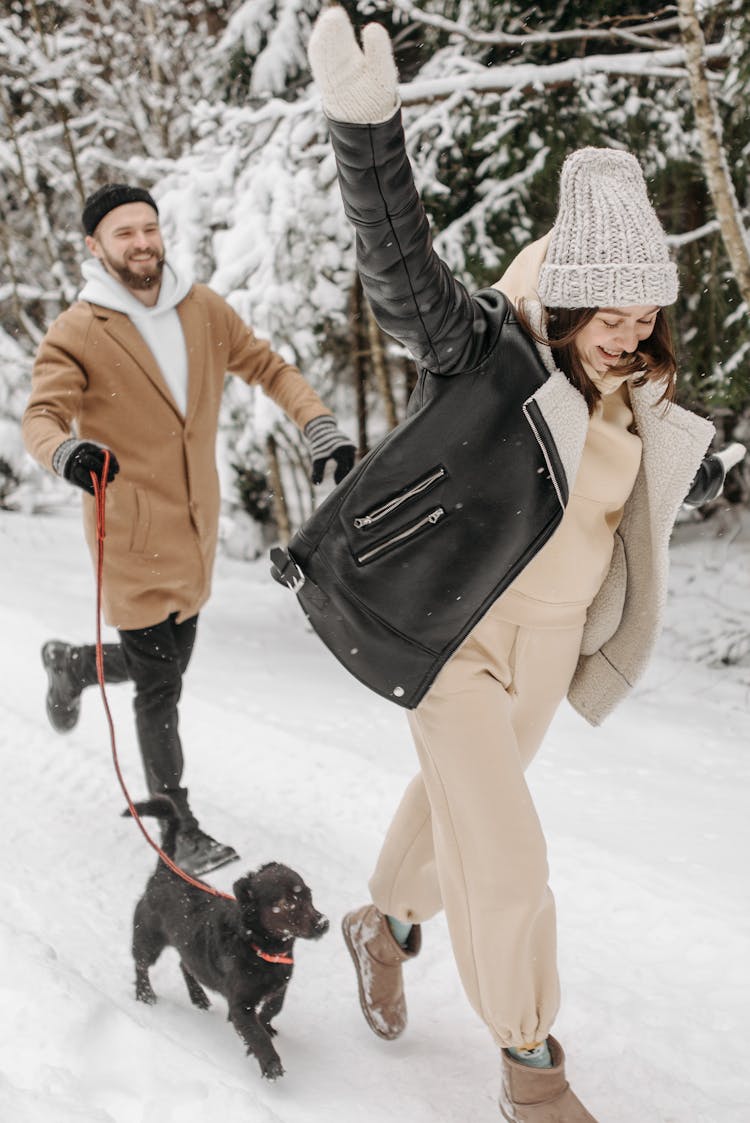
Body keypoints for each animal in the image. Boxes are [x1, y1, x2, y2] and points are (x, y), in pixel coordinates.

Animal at [125, 799, 327, 1078]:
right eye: (286, 903)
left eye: (308, 894)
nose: (323, 923)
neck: (259, 947)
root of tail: (165, 873)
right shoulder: (240, 1004)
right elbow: (255, 1033)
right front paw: (270, 1063)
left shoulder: (280, 985)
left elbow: (273, 1008)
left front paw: (265, 1027)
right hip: (148, 937)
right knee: (141, 964)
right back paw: (145, 994)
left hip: (189, 950)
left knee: (184, 964)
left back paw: (198, 998)